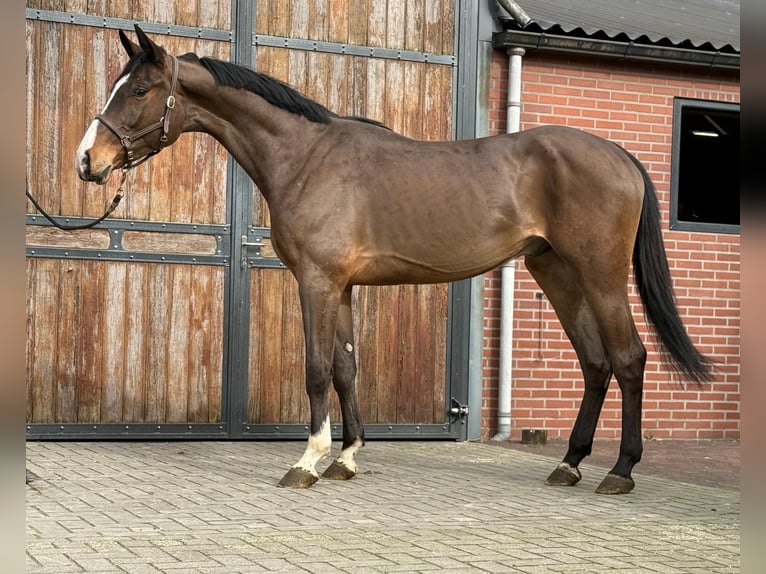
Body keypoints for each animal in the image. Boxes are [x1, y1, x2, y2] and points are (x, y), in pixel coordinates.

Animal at [76, 25, 712, 494]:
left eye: (138, 91)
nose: (87, 161)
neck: (306, 157)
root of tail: (619, 154)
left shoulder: (317, 282)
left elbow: (316, 370)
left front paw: (305, 463)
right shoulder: (342, 286)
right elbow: (346, 369)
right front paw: (346, 459)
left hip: (599, 274)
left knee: (628, 360)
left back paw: (619, 471)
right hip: (555, 272)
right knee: (595, 363)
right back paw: (571, 463)